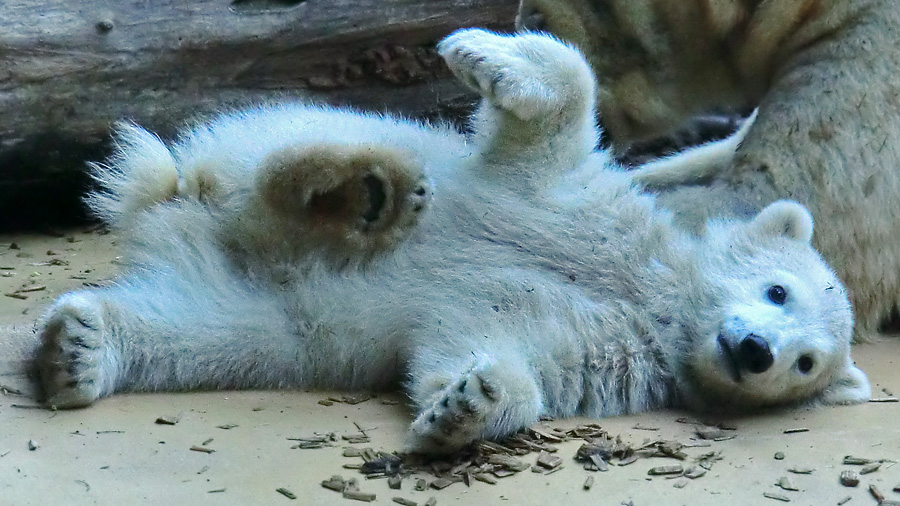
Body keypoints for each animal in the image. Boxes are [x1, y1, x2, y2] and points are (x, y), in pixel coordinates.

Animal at [33, 29, 864, 452]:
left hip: (252, 312)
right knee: (282, 160)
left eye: (807, 363)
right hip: (280, 130)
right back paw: (363, 192)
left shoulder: (606, 348)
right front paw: (483, 54)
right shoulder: (593, 208)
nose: (756, 351)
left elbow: (480, 343)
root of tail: (169, 205)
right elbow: (557, 120)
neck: (655, 299)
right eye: (778, 289)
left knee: (204, 330)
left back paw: (80, 351)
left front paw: (470, 401)